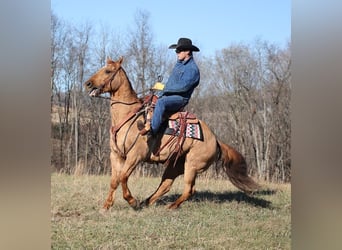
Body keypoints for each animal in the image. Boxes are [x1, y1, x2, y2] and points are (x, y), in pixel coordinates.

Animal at [83, 56, 260, 209]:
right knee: (166, 185)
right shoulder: (116, 155)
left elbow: (123, 178)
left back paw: (170, 206)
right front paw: (106, 206)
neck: (128, 116)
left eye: (108, 71)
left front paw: (132, 201)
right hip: (176, 165)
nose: (88, 83)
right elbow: (114, 181)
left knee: (189, 190)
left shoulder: (135, 156)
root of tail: (216, 140)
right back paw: (147, 202)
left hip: (192, 165)